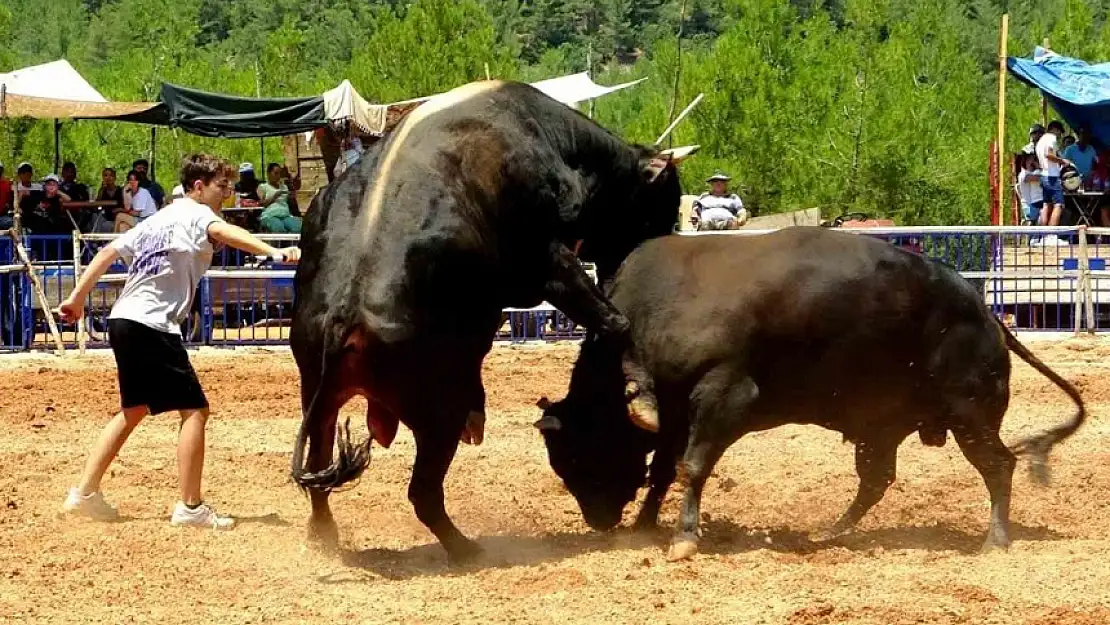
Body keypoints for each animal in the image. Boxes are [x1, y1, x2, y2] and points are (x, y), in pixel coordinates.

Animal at [286, 79, 683, 561]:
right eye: (662, 204)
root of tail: (345, 317)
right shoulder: (550, 265)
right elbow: (614, 323)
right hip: (438, 412)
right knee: (422, 492)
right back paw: (465, 548)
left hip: (319, 400)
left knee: (319, 471)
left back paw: (323, 533)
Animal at [541, 228, 1087, 561]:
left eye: (579, 455)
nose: (598, 521)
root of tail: (983, 310)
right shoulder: (675, 412)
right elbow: (661, 471)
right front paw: (646, 523)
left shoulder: (724, 394)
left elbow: (691, 466)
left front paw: (684, 537)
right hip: (884, 425)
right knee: (876, 479)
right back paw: (829, 532)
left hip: (970, 414)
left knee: (999, 465)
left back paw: (994, 540)